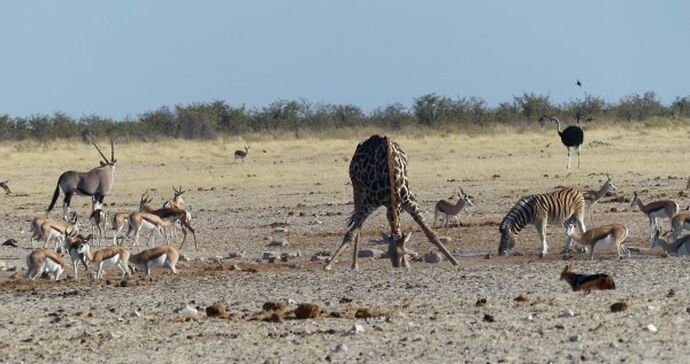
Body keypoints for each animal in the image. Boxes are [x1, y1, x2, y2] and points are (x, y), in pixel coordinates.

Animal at [322, 134, 456, 270]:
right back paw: (355, 264)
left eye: (404, 252)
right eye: (388, 253)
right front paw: (328, 265)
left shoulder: (409, 201)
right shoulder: (370, 202)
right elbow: (351, 233)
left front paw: (454, 261)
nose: (397, 266)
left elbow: (431, 234)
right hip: (357, 187)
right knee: (357, 225)